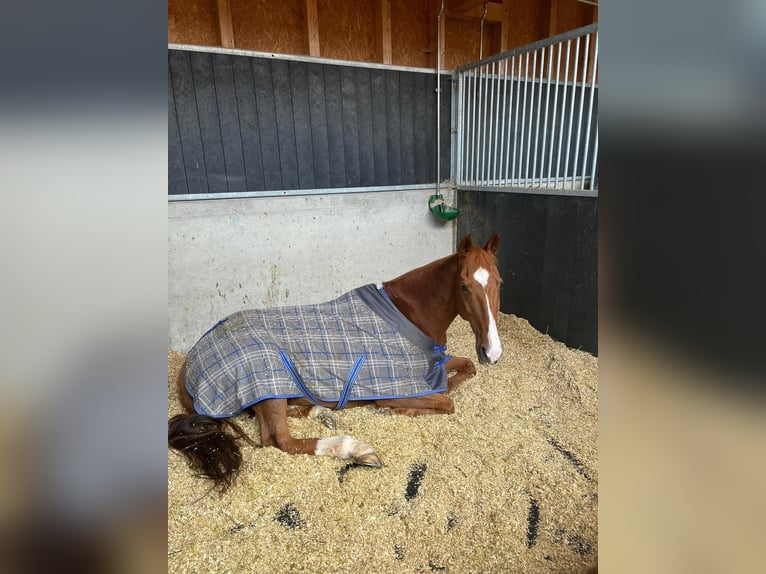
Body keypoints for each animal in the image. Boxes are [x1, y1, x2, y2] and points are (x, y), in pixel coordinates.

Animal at [168, 232, 503, 490]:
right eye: (464, 286)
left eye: (498, 282)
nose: (493, 352)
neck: (409, 314)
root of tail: (191, 361)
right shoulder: (396, 387)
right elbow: (446, 400)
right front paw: (401, 409)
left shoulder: (434, 367)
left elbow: (465, 369)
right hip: (269, 381)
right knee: (280, 441)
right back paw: (356, 449)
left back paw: (320, 411)